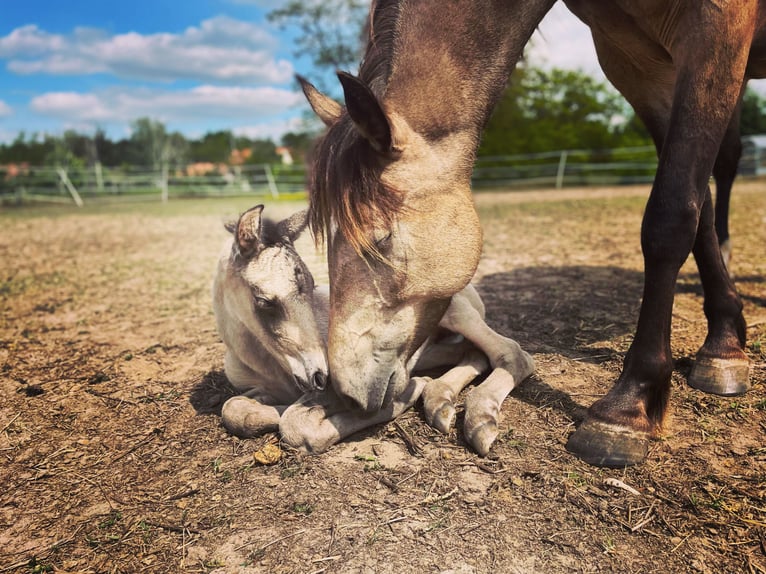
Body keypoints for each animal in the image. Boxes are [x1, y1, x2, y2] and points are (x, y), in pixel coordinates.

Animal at [210, 205, 536, 456]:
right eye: (264, 301)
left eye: (313, 285)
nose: (319, 375)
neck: (269, 364)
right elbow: (235, 408)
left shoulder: (351, 380)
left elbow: (295, 424)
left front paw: (407, 394)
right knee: (469, 352)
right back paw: (439, 401)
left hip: (456, 314)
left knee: (511, 353)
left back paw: (478, 419)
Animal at [302, 1, 760, 468]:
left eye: (382, 239)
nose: (346, 392)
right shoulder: (635, 63)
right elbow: (697, 203)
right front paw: (723, 340)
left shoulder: (715, 33)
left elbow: (672, 214)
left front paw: (629, 405)